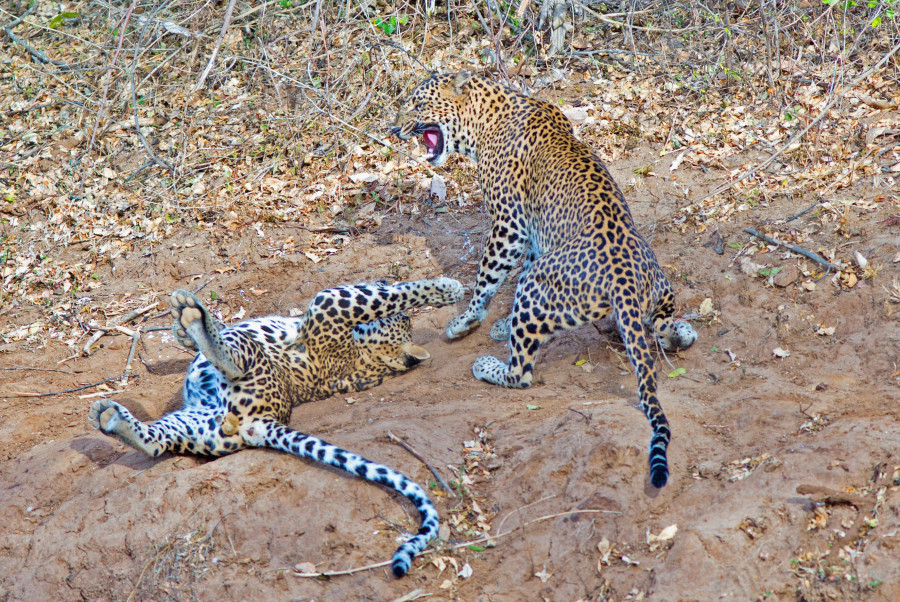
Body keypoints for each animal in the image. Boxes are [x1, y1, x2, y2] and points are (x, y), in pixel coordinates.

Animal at [87, 276, 464, 576]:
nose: (384, 276)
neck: (368, 358)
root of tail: (267, 418)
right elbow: (393, 295)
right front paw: (182, 332)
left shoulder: (333, 303)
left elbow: (394, 294)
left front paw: (449, 288)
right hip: (194, 424)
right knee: (156, 441)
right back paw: (111, 416)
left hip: (239, 376)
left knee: (232, 360)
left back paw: (194, 317)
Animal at [392, 70, 696, 488]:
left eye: (418, 105)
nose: (394, 128)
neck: (483, 120)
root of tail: (624, 279)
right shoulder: (535, 232)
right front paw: (501, 323)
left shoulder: (509, 225)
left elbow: (486, 277)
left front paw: (466, 321)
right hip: (657, 285)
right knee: (661, 326)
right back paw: (682, 331)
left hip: (538, 283)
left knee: (521, 372)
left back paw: (486, 365)